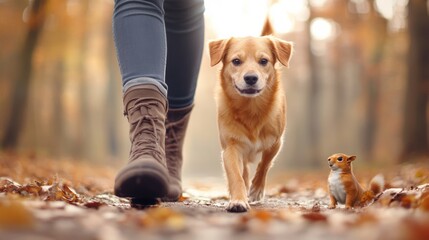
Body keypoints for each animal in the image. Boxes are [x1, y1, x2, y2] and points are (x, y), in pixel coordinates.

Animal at [209, 35, 292, 212]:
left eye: (263, 61)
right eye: (236, 61)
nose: (251, 78)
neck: (251, 109)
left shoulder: (276, 143)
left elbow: (264, 164)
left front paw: (256, 190)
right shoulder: (231, 147)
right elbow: (236, 175)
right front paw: (238, 200)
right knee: (244, 170)